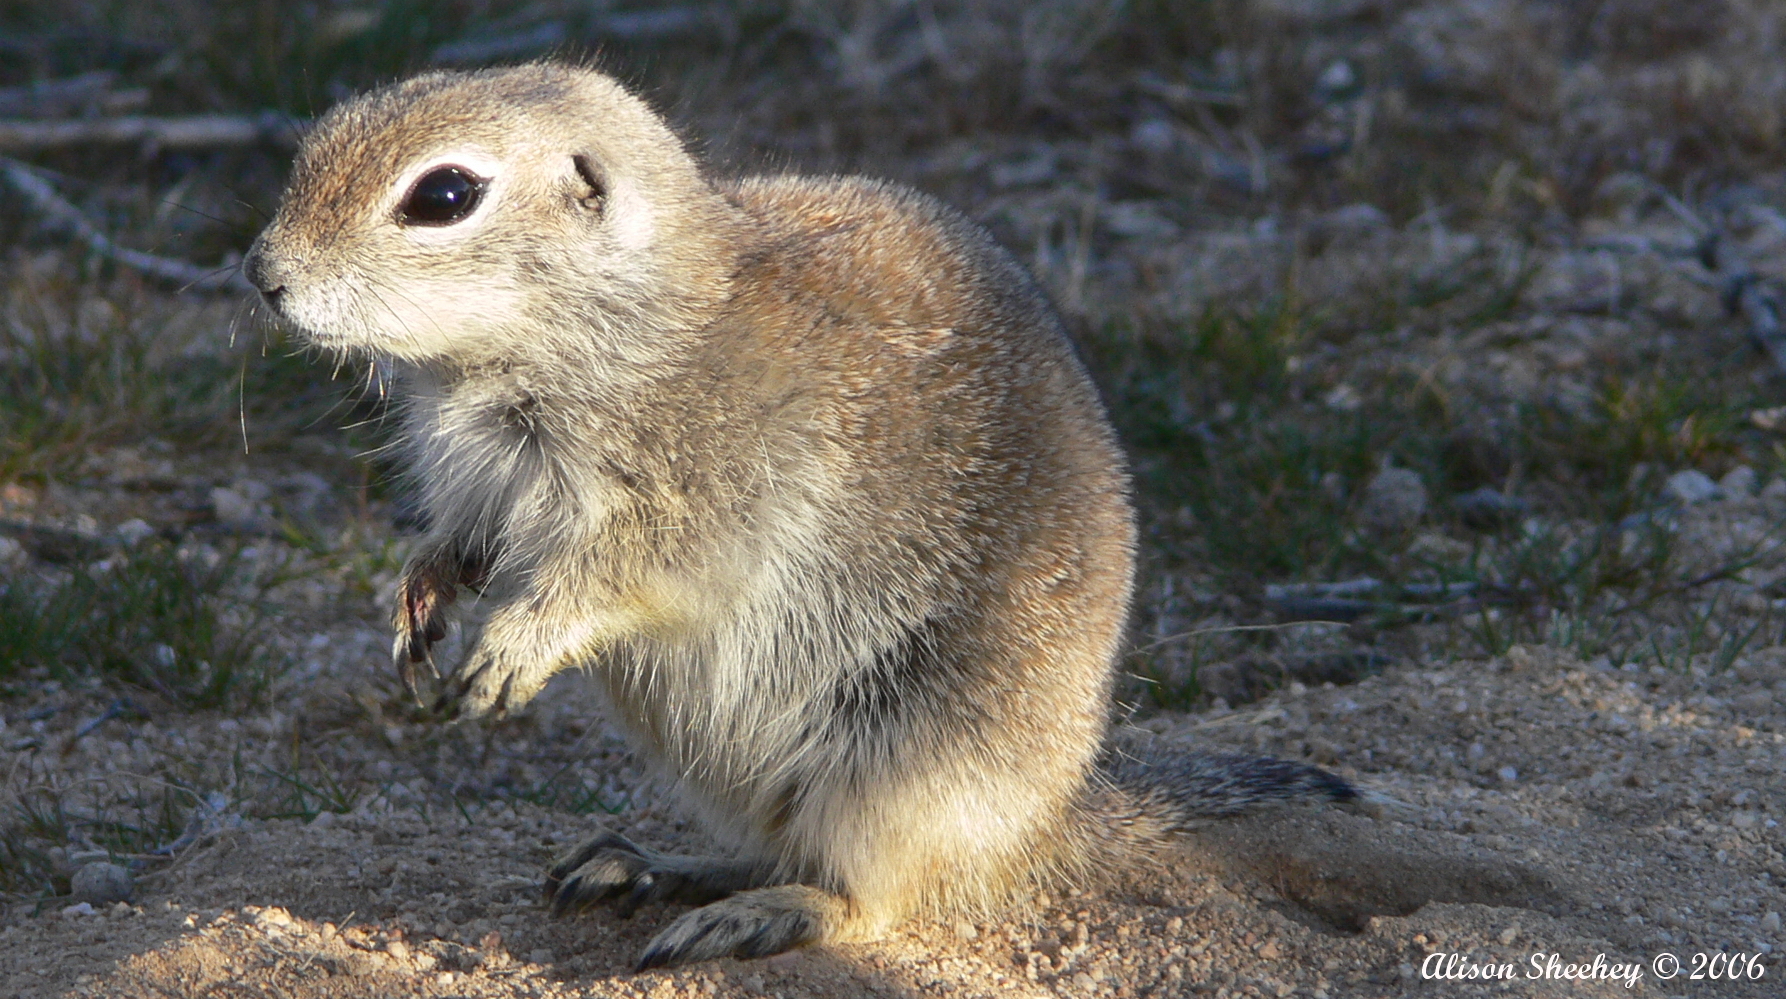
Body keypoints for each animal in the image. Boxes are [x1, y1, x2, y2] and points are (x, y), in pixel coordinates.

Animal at [237, 62, 1350, 972]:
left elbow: (625, 571)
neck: (620, 316)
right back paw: (653, 866)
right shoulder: (477, 482)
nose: (261, 275)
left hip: (900, 767)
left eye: (444, 195)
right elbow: (461, 542)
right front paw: (420, 603)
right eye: (321, 135)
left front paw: (510, 649)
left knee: (873, 896)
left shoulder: (699, 483)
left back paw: (759, 912)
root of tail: (1054, 816)